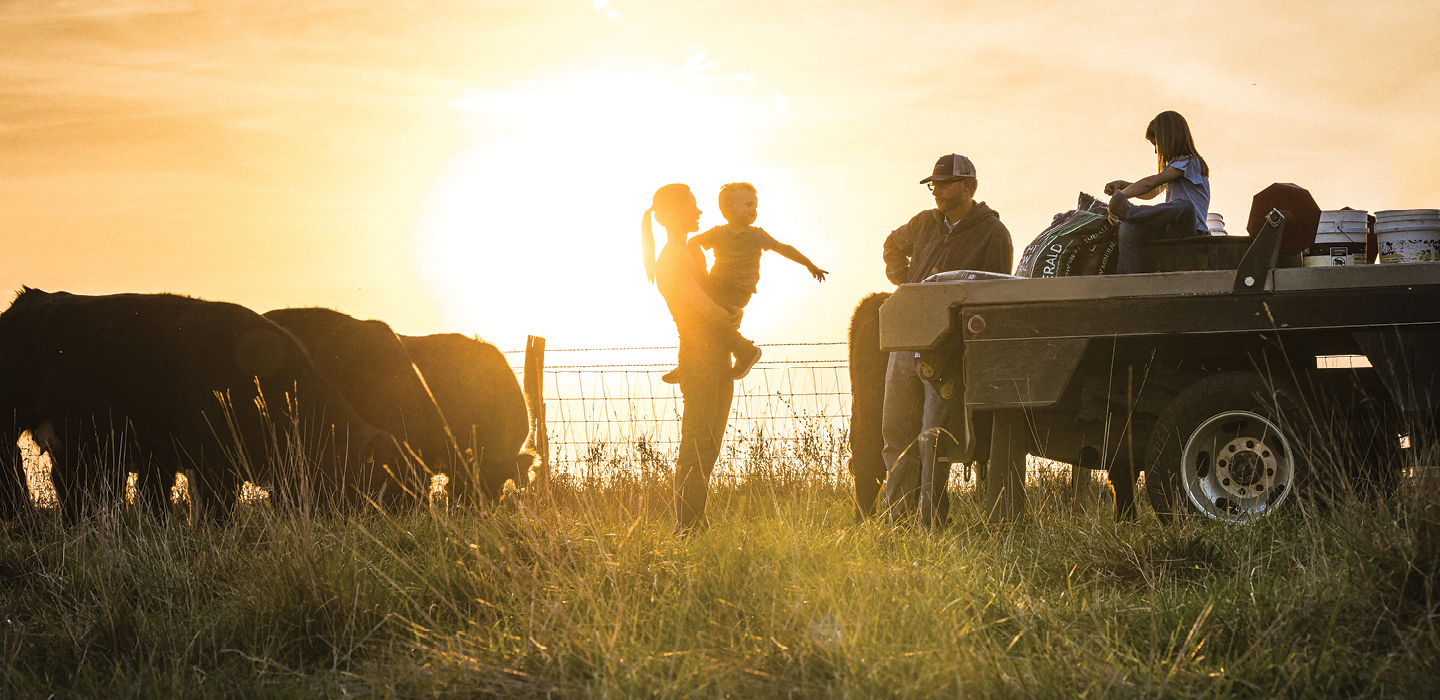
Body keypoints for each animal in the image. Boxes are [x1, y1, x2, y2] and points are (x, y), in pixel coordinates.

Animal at [0, 289, 415, 523]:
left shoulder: (173, 461)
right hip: (14, 422)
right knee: (13, 469)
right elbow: (213, 511)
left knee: (67, 485)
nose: (396, 520)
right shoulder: (208, 464)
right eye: (371, 478)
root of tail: (29, 298)